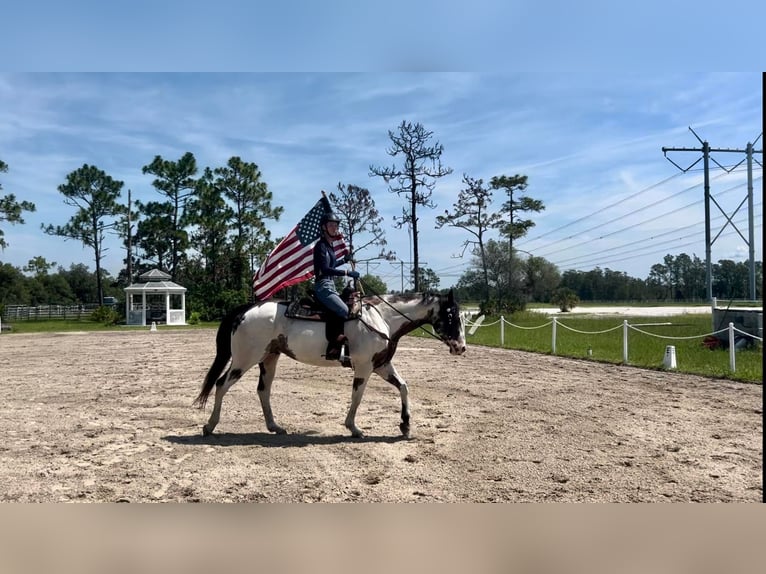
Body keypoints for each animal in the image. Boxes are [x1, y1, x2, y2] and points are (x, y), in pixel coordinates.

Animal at [194, 290, 468, 438]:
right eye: (451, 315)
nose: (461, 347)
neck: (382, 319)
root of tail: (247, 309)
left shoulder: (381, 365)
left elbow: (403, 387)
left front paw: (405, 426)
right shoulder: (364, 367)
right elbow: (357, 396)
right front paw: (354, 428)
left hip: (269, 358)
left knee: (263, 391)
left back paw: (275, 426)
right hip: (244, 359)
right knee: (221, 384)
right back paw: (210, 426)